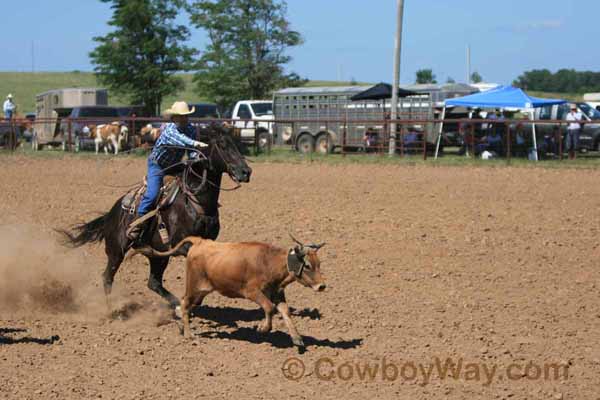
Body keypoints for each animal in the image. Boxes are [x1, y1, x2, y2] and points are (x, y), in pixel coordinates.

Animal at [58, 125, 251, 310]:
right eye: (222, 145)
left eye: (236, 143)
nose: (246, 171)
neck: (196, 201)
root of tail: (110, 215)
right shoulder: (179, 243)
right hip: (116, 251)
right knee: (107, 277)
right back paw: (111, 311)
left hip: (158, 255)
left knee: (154, 283)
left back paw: (177, 305)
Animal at [132, 234, 328, 346]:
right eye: (308, 265)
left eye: (319, 263)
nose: (322, 286)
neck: (269, 262)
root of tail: (200, 241)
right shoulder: (252, 292)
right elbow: (269, 308)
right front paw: (262, 328)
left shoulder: (277, 293)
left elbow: (285, 311)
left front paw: (297, 338)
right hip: (194, 286)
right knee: (185, 303)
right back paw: (189, 335)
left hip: (203, 290)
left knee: (187, 305)